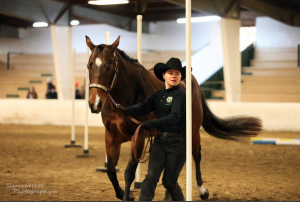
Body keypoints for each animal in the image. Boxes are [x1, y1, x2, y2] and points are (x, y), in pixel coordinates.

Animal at [85, 35, 262, 200]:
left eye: (109, 67)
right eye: (89, 66)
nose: (94, 104)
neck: (122, 102)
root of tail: (192, 81)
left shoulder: (139, 136)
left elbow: (129, 171)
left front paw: (127, 196)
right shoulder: (111, 137)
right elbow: (110, 170)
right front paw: (123, 194)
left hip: (193, 130)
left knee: (195, 155)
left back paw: (201, 191)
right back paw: (169, 194)